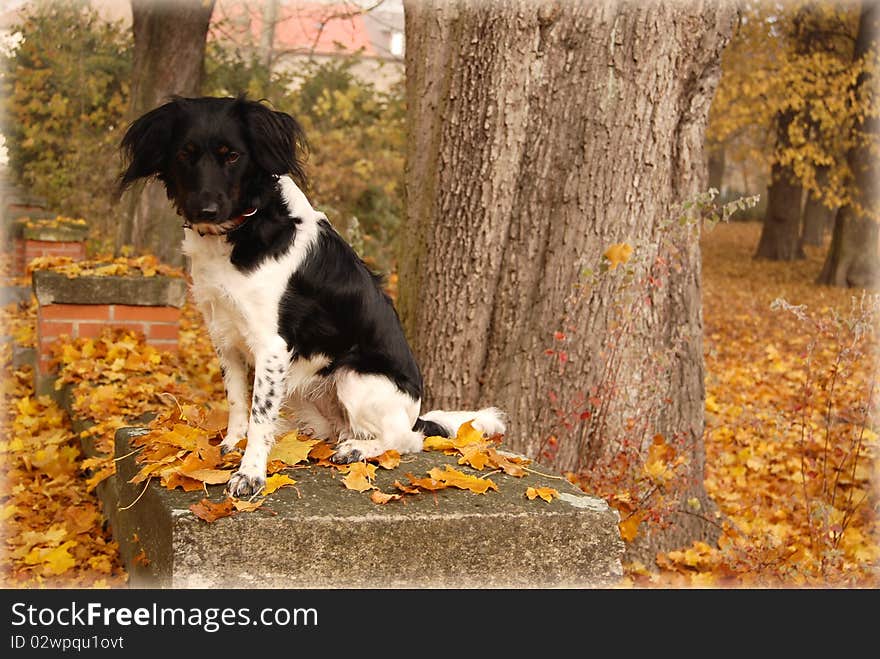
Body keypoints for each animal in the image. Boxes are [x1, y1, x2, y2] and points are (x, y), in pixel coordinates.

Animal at [117, 96, 506, 500]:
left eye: (233, 156)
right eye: (185, 154)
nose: (204, 209)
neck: (244, 229)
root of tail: (417, 412)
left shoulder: (272, 345)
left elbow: (259, 415)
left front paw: (250, 474)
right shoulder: (223, 334)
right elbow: (238, 401)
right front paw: (232, 445)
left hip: (354, 376)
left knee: (403, 439)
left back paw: (356, 449)